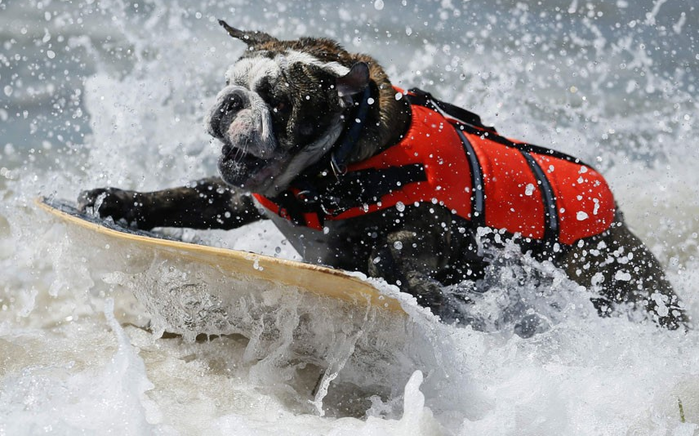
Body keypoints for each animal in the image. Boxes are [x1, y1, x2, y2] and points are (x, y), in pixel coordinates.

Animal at [80, 21, 688, 330]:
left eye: (277, 100)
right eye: (232, 79)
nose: (232, 101)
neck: (332, 166)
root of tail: (619, 224)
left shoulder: (436, 227)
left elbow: (393, 250)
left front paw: (440, 300)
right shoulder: (236, 197)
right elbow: (185, 198)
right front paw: (116, 199)